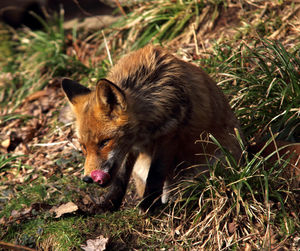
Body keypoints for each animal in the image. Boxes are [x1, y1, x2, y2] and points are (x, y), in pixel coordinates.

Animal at [61, 45, 244, 212]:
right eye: (83, 147)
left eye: (104, 142)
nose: (87, 179)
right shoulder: (131, 148)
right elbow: (120, 179)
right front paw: (108, 205)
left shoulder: (169, 134)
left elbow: (155, 174)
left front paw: (148, 205)